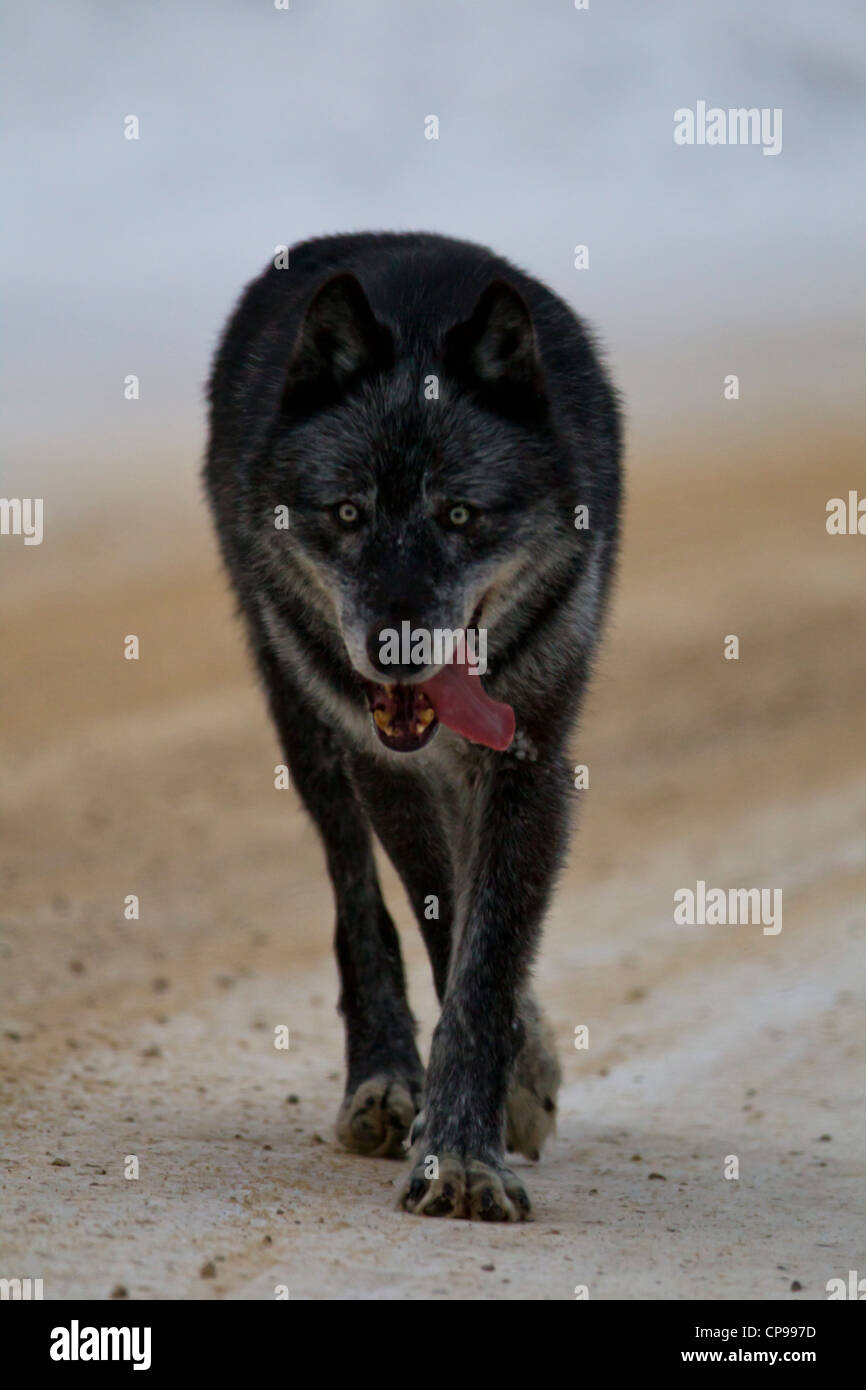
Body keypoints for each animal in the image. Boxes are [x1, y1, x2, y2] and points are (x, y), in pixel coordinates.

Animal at [205, 230, 619, 1217]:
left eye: (459, 515)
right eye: (348, 513)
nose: (396, 651)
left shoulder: (531, 765)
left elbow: (488, 954)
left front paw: (468, 1145)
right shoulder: (381, 765)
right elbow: (442, 927)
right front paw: (474, 1120)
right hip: (307, 730)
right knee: (359, 902)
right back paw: (387, 1077)